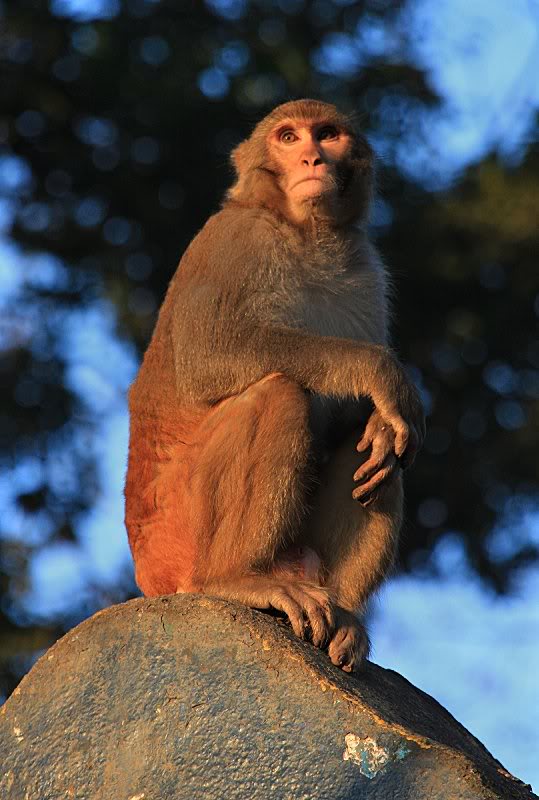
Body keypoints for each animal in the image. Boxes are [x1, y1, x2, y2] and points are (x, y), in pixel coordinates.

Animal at [125, 99, 425, 673]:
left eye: (327, 135)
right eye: (288, 137)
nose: (312, 158)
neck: (306, 234)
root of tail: (146, 578)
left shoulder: (368, 270)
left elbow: (370, 423)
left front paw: (383, 415)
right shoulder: (234, 238)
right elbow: (209, 354)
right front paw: (380, 372)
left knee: (376, 447)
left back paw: (345, 616)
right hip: (178, 534)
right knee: (277, 393)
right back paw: (234, 578)